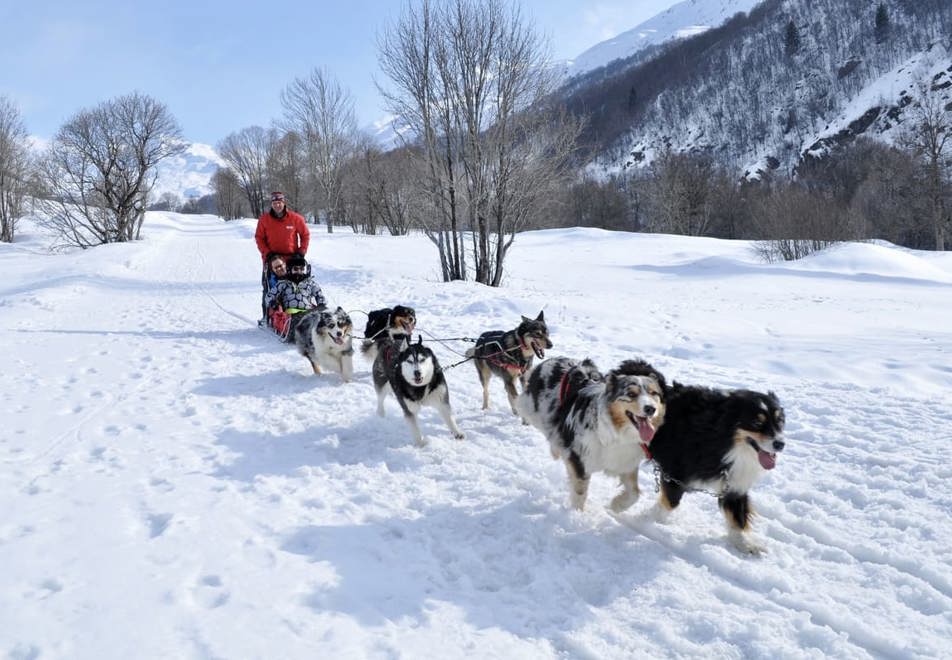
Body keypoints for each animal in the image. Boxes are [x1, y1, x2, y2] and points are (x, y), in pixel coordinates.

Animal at [516, 358, 664, 512]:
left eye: (653, 393)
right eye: (631, 394)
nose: (651, 409)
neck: (614, 432)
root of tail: (551, 360)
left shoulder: (625, 461)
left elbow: (634, 493)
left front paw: (615, 506)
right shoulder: (579, 460)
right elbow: (580, 493)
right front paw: (577, 514)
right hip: (533, 411)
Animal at [648, 384, 788, 556]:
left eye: (779, 421)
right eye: (756, 422)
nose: (780, 444)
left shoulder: (734, 482)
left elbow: (738, 517)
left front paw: (745, 544)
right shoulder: (674, 473)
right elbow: (670, 503)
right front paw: (649, 519)